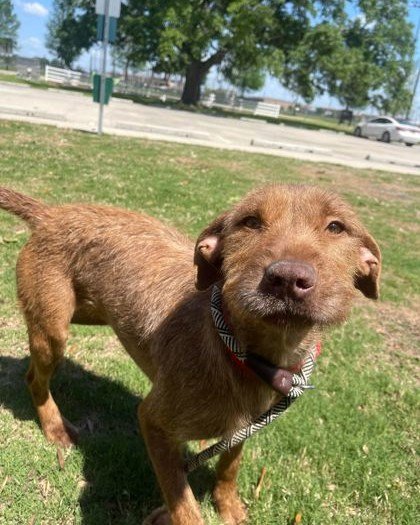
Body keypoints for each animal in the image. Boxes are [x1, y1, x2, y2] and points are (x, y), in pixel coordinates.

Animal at [0, 183, 380, 520]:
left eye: (336, 227)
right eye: (250, 221)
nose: (287, 278)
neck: (237, 349)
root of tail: (50, 213)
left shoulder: (243, 424)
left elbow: (230, 465)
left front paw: (227, 505)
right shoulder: (154, 421)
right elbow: (185, 508)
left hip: (85, 313)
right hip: (53, 332)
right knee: (34, 377)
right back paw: (55, 428)